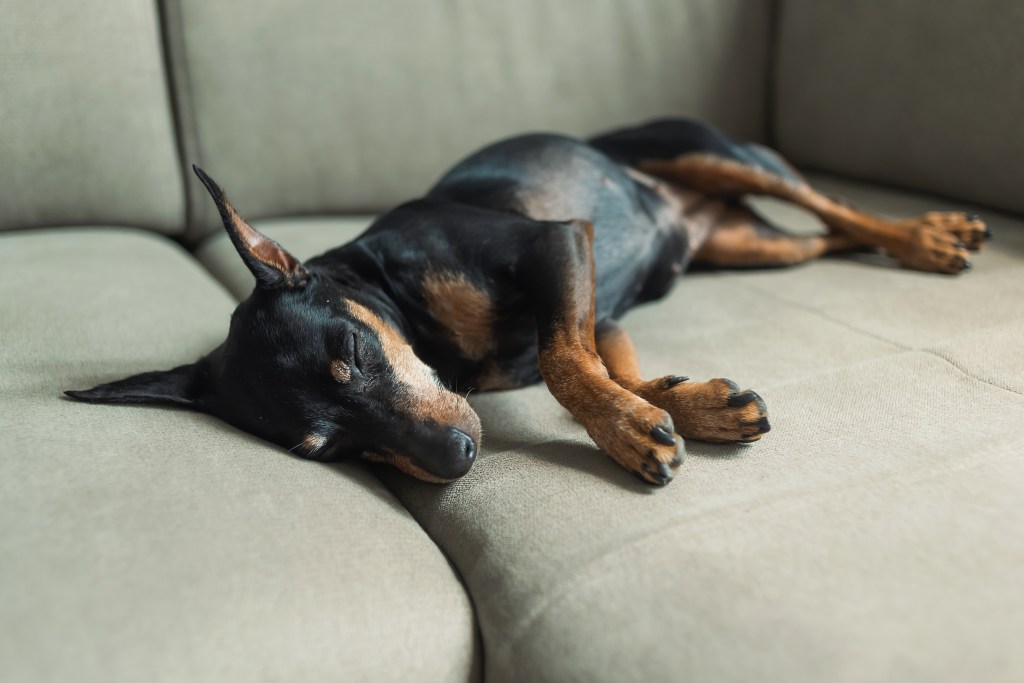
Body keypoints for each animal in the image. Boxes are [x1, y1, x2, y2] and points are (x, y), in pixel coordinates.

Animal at [61, 120, 983, 489]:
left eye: (352, 356)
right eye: (325, 448)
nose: (460, 457)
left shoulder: (556, 242)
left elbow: (561, 358)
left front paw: (630, 429)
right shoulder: (596, 305)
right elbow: (598, 359)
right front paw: (688, 404)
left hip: (717, 153)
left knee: (837, 206)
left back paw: (928, 236)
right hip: (752, 245)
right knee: (825, 239)